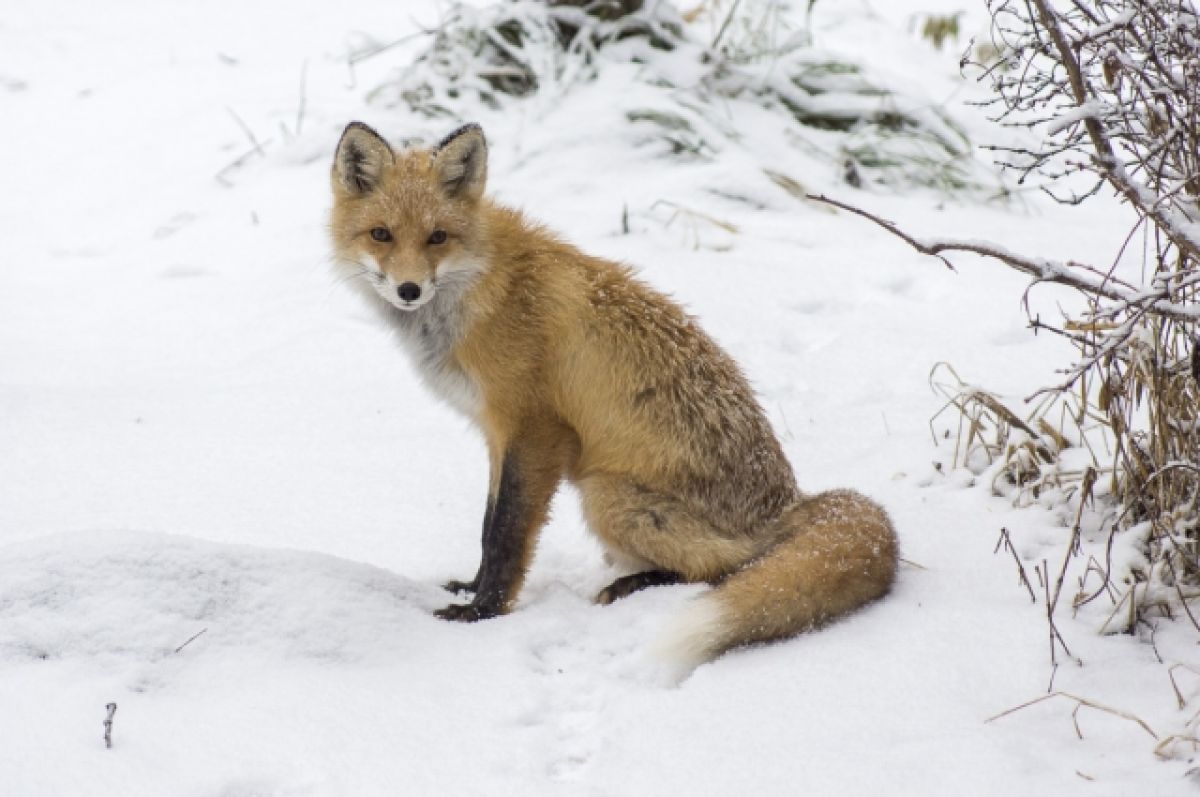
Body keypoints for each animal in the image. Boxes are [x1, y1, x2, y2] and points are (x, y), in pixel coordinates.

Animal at [324, 121, 897, 676]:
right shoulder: (496, 434)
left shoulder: (536, 431)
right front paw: (470, 588)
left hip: (607, 497)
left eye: (437, 237)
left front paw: (483, 613)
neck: (483, 289)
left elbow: (507, 533)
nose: (409, 290)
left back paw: (632, 586)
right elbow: (487, 525)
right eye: (381, 234)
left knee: (728, 568)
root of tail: (790, 503)